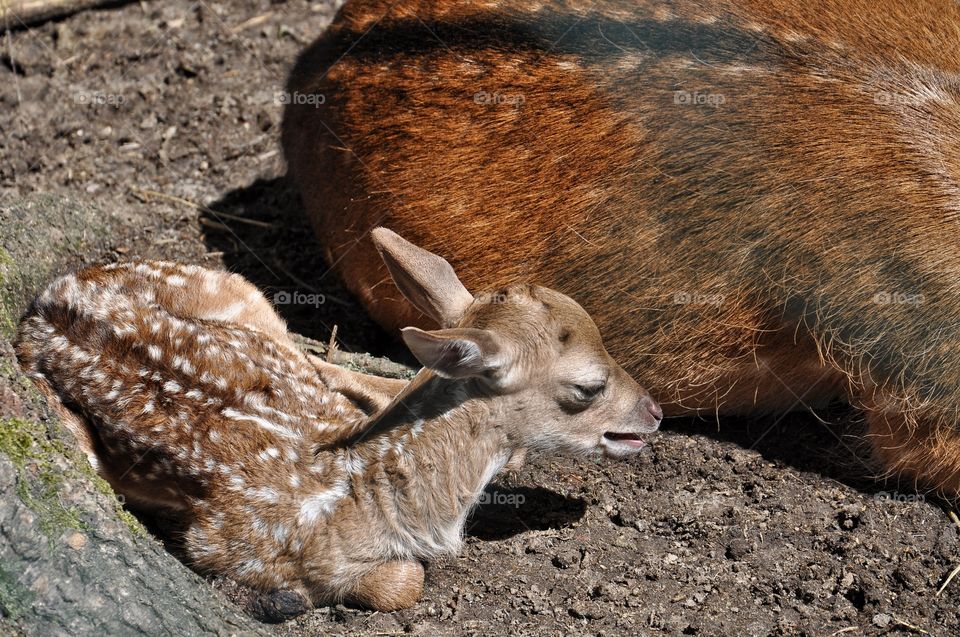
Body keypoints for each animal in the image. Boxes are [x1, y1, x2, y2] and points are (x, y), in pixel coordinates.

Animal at [15, 228, 661, 612]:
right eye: (589, 387)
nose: (654, 413)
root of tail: (50, 296)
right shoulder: (228, 543)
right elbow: (404, 581)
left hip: (240, 289)